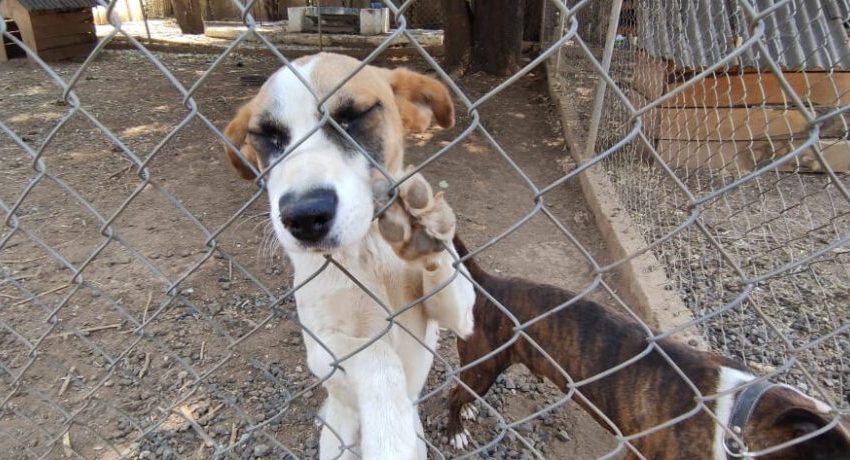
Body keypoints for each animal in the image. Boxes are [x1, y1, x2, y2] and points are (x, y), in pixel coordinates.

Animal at [222, 53, 474, 456]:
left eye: (353, 116)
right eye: (267, 137)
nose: (304, 216)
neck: (366, 249)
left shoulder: (458, 318)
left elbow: (452, 282)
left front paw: (426, 227)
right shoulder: (322, 348)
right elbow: (377, 357)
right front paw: (390, 437)